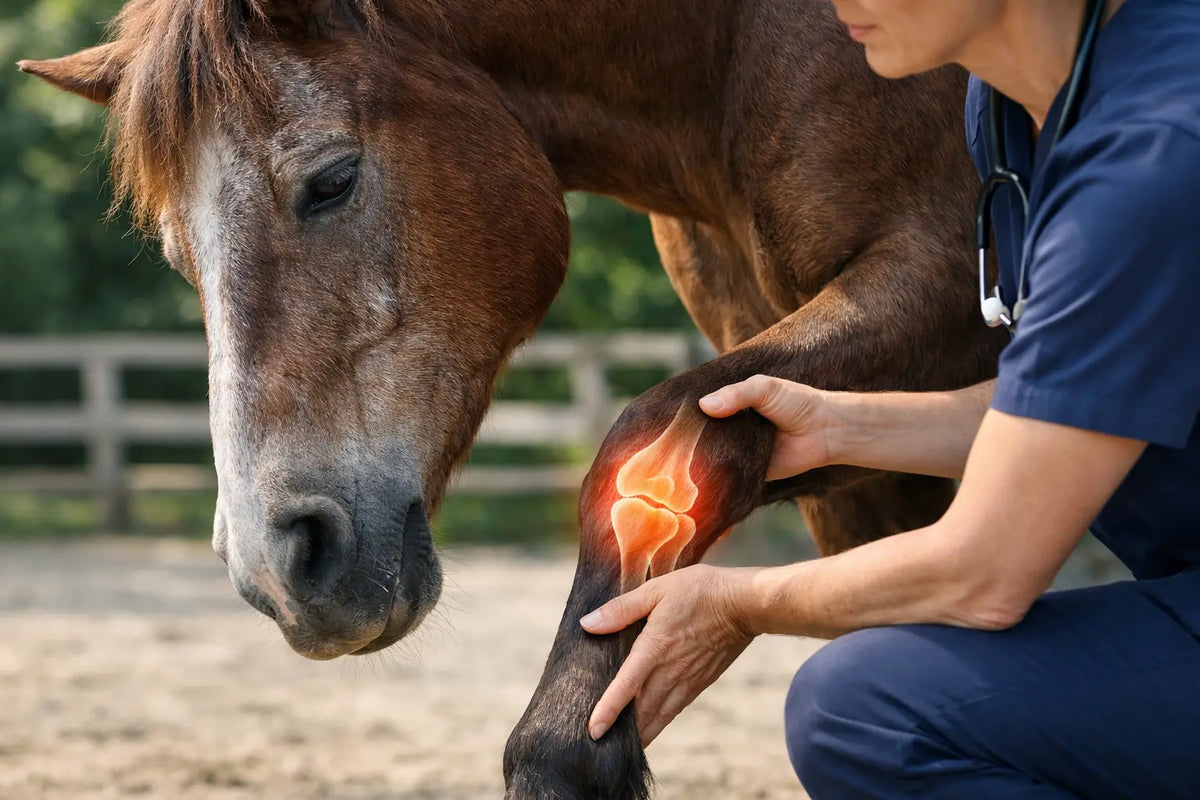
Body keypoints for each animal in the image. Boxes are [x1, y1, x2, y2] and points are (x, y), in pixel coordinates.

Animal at [19, 0, 1004, 796]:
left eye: (332, 180)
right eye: (178, 252)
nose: (277, 568)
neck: (734, 40)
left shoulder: (940, 285)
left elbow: (656, 435)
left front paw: (567, 750)